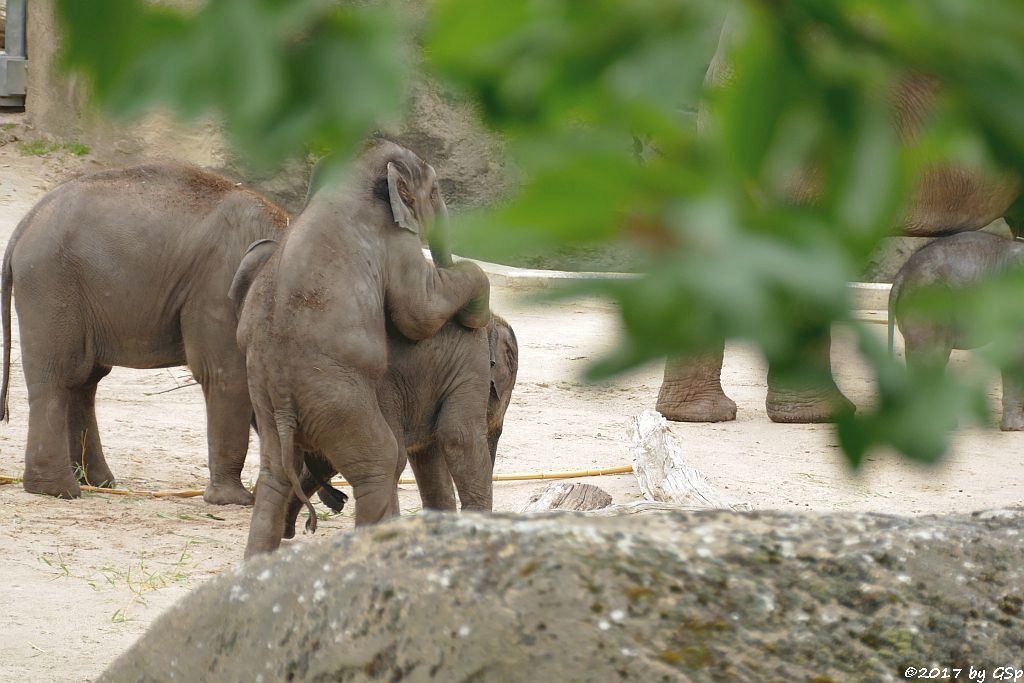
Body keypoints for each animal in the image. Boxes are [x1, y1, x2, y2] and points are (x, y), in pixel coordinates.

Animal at [1, 158, 288, 501]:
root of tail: (25, 223)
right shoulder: (216, 289)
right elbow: (227, 375)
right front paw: (235, 501)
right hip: (49, 283)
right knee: (57, 376)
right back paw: (59, 491)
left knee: (83, 380)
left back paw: (97, 483)